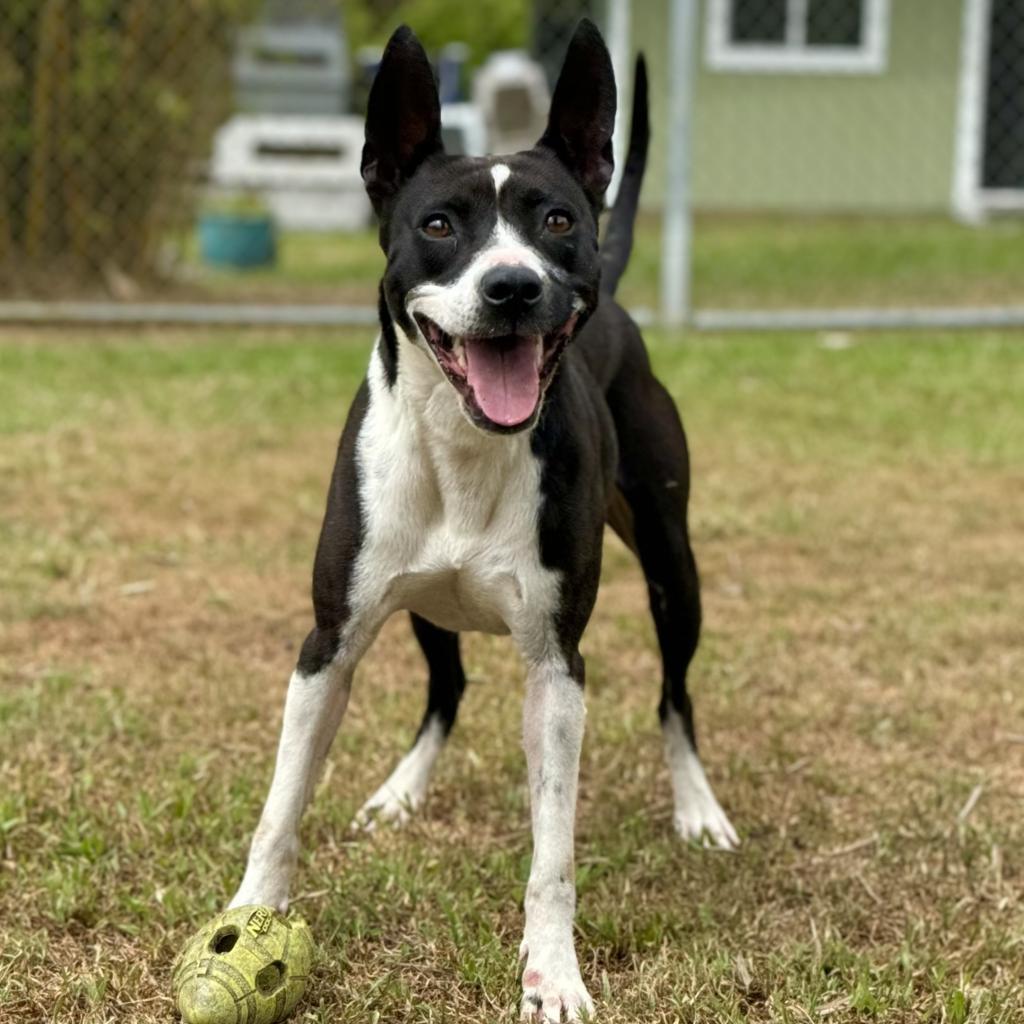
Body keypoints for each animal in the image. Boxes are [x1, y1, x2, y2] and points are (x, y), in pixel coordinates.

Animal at [224, 19, 737, 1019]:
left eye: (558, 221)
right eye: (437, 225)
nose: (512, 288)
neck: (465, 447)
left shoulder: (557, 668)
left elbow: (554, 854)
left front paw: (555, 971)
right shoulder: (327, 644)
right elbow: (279, 804)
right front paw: (246, 915)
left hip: (674, 566)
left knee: (675, 695)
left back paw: (698, 807)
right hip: (424, 607)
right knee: (447, 690)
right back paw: (400, 792)